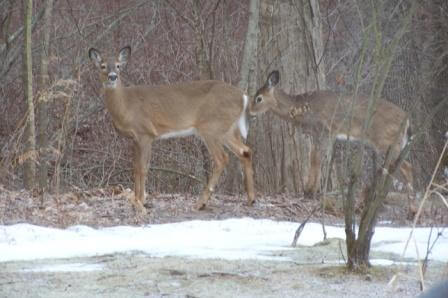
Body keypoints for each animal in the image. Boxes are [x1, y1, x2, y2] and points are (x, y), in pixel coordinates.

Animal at [88, 46, 256, 214]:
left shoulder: (145, 133)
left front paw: (140, 202)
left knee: (222, 158)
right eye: (102, 66)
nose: (112, 77)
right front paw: (138, 201)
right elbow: (136, 167)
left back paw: (200, 203)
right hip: (226, 129)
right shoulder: (135, 138)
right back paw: (251, 199)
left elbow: (142, 168)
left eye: (118, 66)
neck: (126, 105)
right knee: (245, 151)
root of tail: (243, 96)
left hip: (211, 127)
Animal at [248, 70, 412, 198]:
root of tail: (407, 120)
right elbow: (313, 159)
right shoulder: (316, 135)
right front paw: (308, 190)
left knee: (407, 168)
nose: (249, 112)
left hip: (387, 141)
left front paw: (311, 192)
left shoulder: (325, 131)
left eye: (258, 98)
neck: (302, 109)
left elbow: (317, 160)